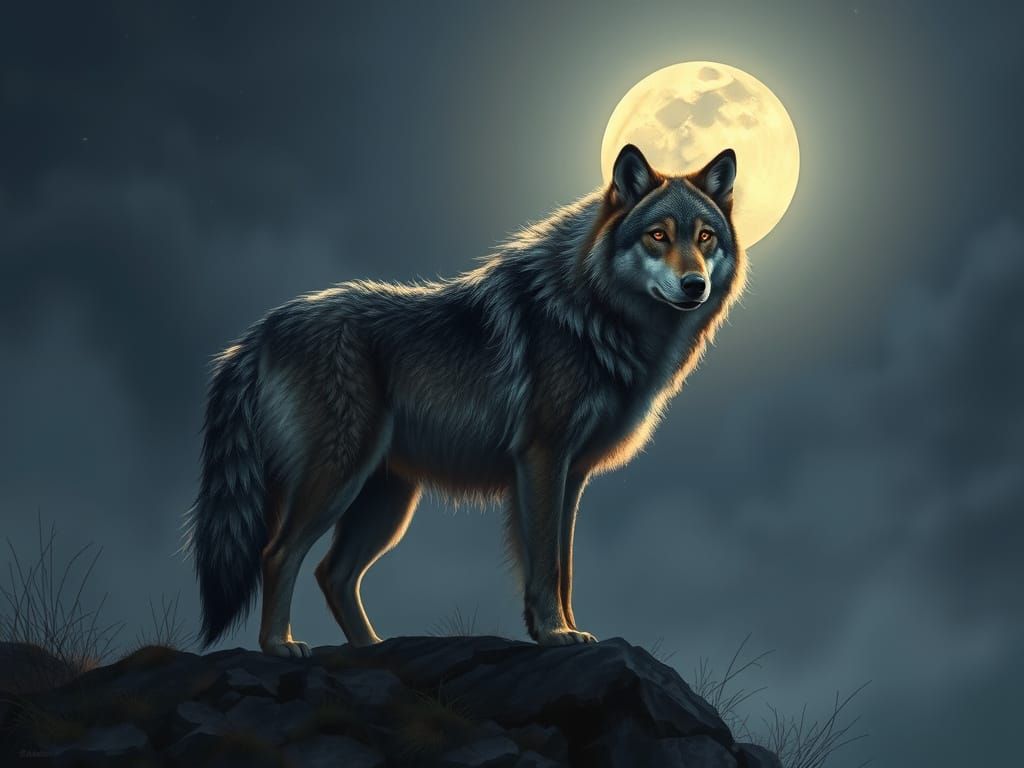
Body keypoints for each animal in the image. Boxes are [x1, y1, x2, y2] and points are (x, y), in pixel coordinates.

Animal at [187, 144, 747, 656]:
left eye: (704, 237)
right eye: (659, 236)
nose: (694, 285)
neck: (594, 312)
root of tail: (258, 332)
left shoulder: (573, 474)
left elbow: (563, 566)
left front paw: (566, 628)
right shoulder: (542, 458)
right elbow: (545, 565)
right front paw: (555, 633)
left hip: (386, 501)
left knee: (333, 572)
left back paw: (372, 647)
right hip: (339, 478)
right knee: (278, 553)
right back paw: (280, 646)